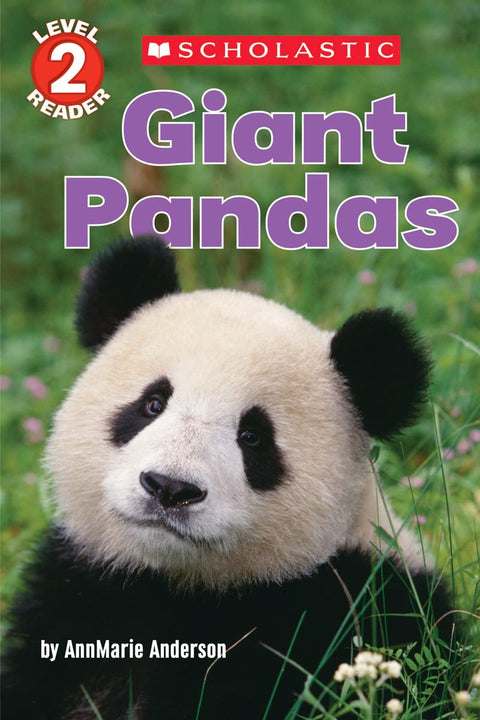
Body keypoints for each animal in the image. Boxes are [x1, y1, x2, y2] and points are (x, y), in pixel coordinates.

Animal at [3, 237, 454, 720]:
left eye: (252, 436)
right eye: (153, 404)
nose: (170, 487)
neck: (174, 586)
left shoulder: (345, 612)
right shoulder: (78, 599)